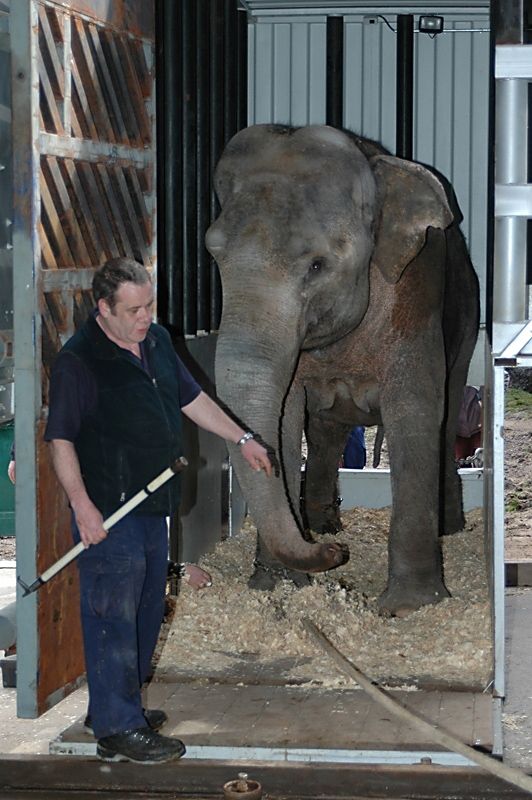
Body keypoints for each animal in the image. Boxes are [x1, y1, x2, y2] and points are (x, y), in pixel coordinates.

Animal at [206, 122, 480, 616]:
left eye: (318, 265)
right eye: (215, 255)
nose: (336, 556)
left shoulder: (415, 293)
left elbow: (416, 409)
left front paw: (411, 608)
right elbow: (286, 417)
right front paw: (277, 586)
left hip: (467, 311)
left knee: (448, 411)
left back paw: (449, 528)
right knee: (326, 433)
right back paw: (324, 525)